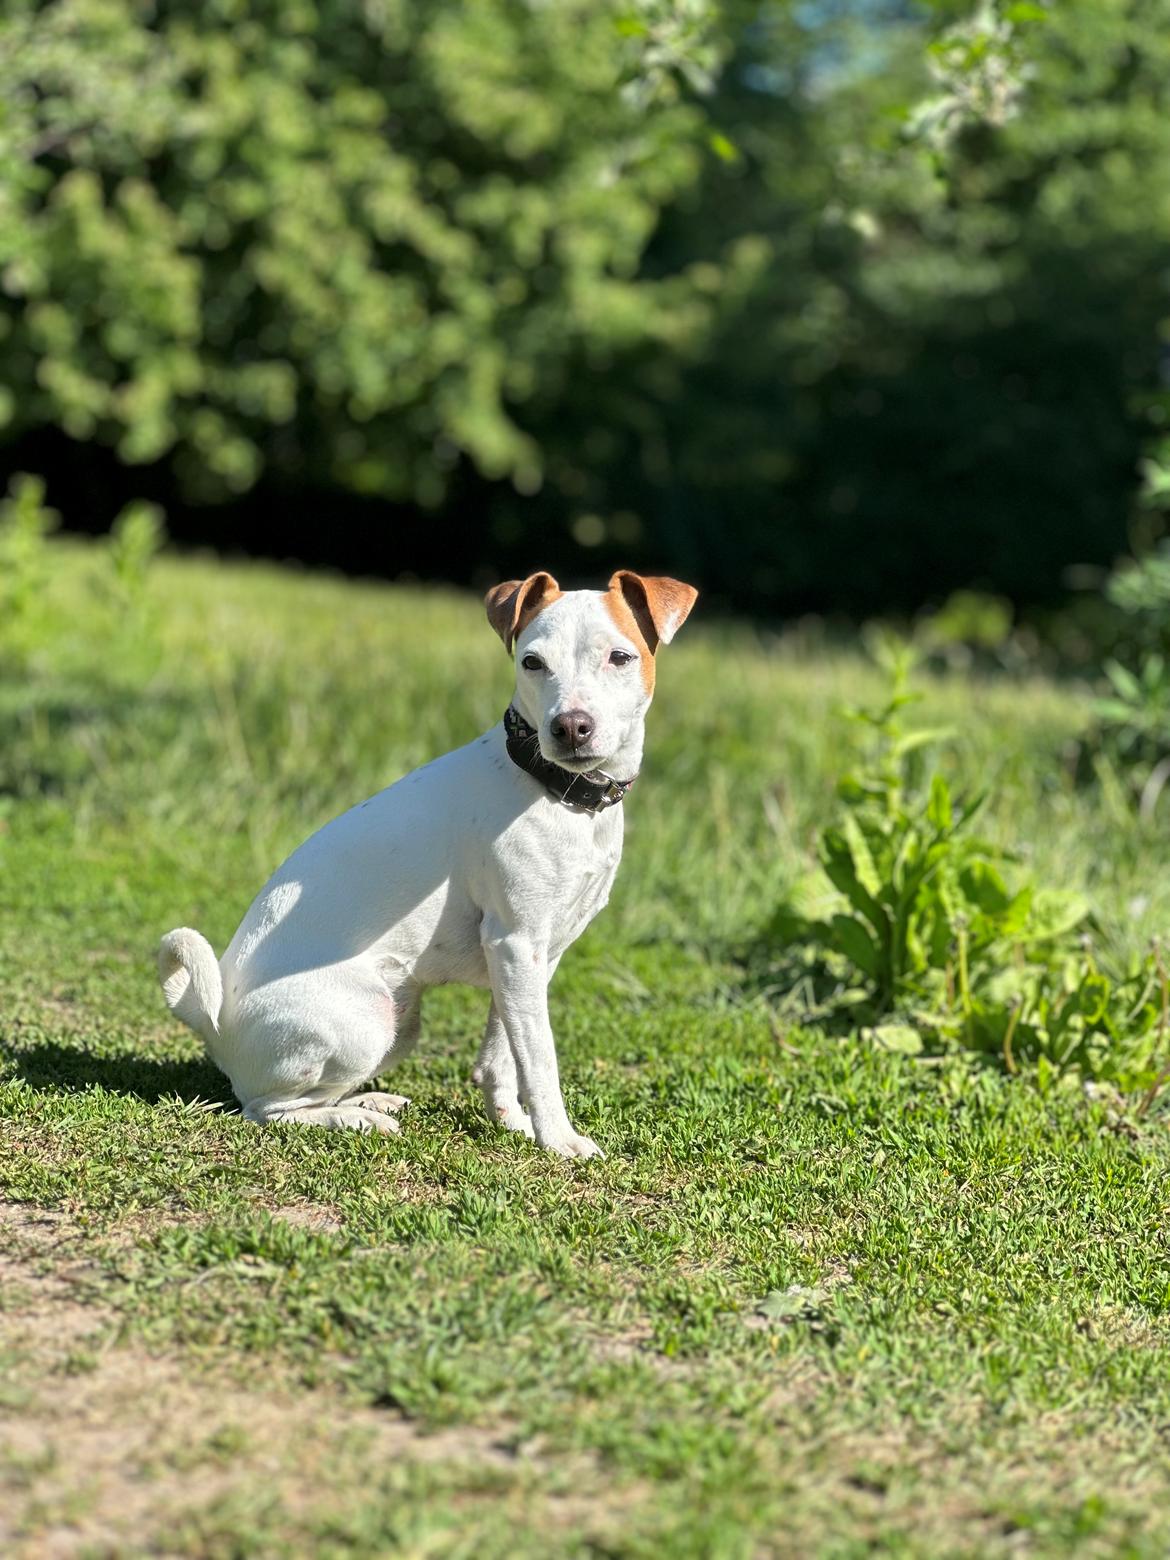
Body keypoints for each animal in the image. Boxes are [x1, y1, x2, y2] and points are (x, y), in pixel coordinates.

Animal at [156, 574, 695, 1160]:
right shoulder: (516, 945)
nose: (570, 727)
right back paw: (355, 1119)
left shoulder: (531, 958)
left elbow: (502, 1055)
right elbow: (540, 1061)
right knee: (264, 1108)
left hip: (400, 1023)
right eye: (532, 662)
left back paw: (365, 1101)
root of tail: (216, 1024)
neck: (559, 794)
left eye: (620, 657)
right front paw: (558, 1139)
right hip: (366, 1020)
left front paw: (513, 1124)